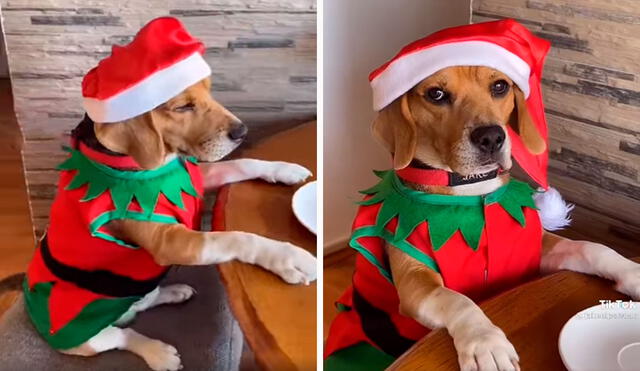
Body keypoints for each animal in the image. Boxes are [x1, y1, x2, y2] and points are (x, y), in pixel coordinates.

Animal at [27, 77, 318, 370]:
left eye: (209, 91)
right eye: (183, 107)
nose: (242, 131)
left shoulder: (189, 179)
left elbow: (243, 163)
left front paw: (283, 169)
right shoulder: (171, 242)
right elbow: (234, 237)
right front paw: (288, 259)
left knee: (145, 302)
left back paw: (174, 293)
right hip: (84, 335)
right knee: (124, 335)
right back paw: (158, 353)